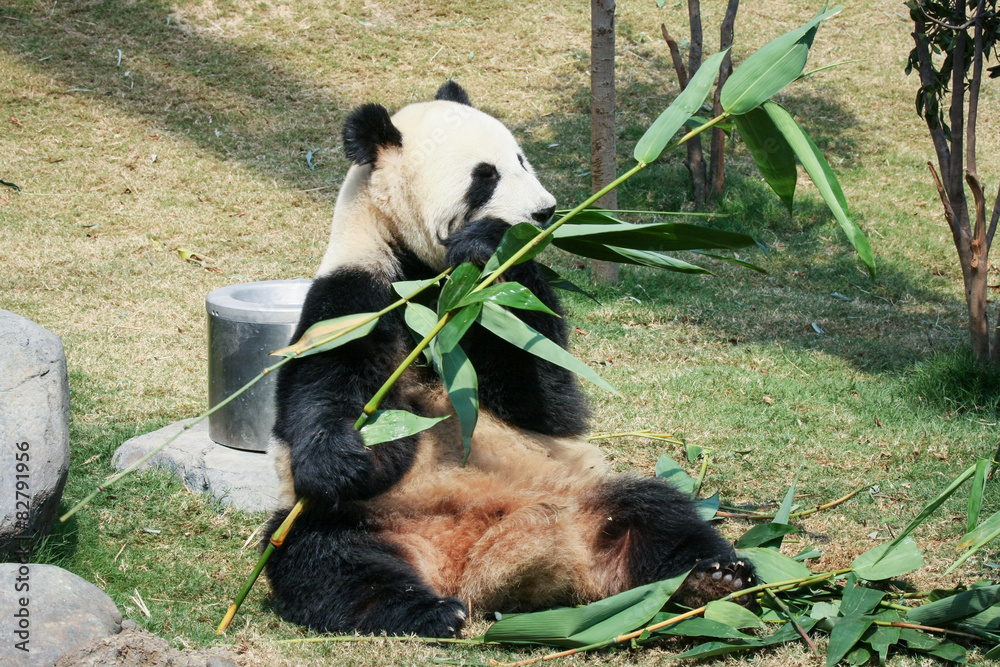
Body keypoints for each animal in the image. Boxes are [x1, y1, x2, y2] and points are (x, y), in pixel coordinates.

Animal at [263, 81, 755, 638]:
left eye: (521, 159)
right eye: (485, 176)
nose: (544, 212)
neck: (435, 282)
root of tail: (472, 563)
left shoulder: (492, 306)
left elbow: (544, 396)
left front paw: (492, 244)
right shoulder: (358, 293)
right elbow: (325, 387)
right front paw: (343, 456)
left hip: (580, 491)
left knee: (656, 512)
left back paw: (713, 576)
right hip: (369, 517)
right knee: (324, 555)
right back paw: (427, 610)